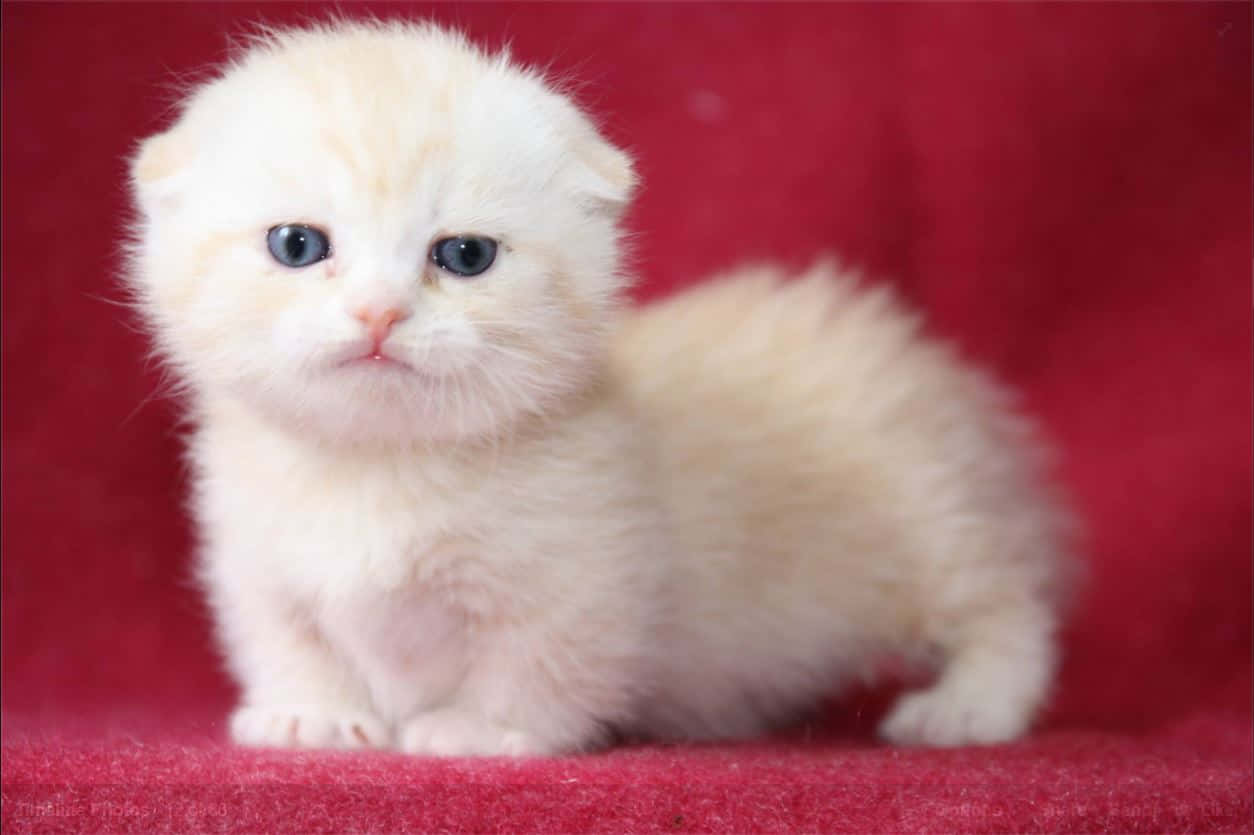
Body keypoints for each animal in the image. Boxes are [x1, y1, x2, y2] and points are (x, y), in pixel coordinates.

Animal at [127, 22, 1078, 752]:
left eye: (464, 254)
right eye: (297, 244)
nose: (379, 313)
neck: (379, 467)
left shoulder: (586, 576)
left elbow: (537, 663)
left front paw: (480, 729)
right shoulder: (256, 563)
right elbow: (288, 640)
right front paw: (311, 716)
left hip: (929, 528)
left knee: (1009, 600)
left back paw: (971, 705)